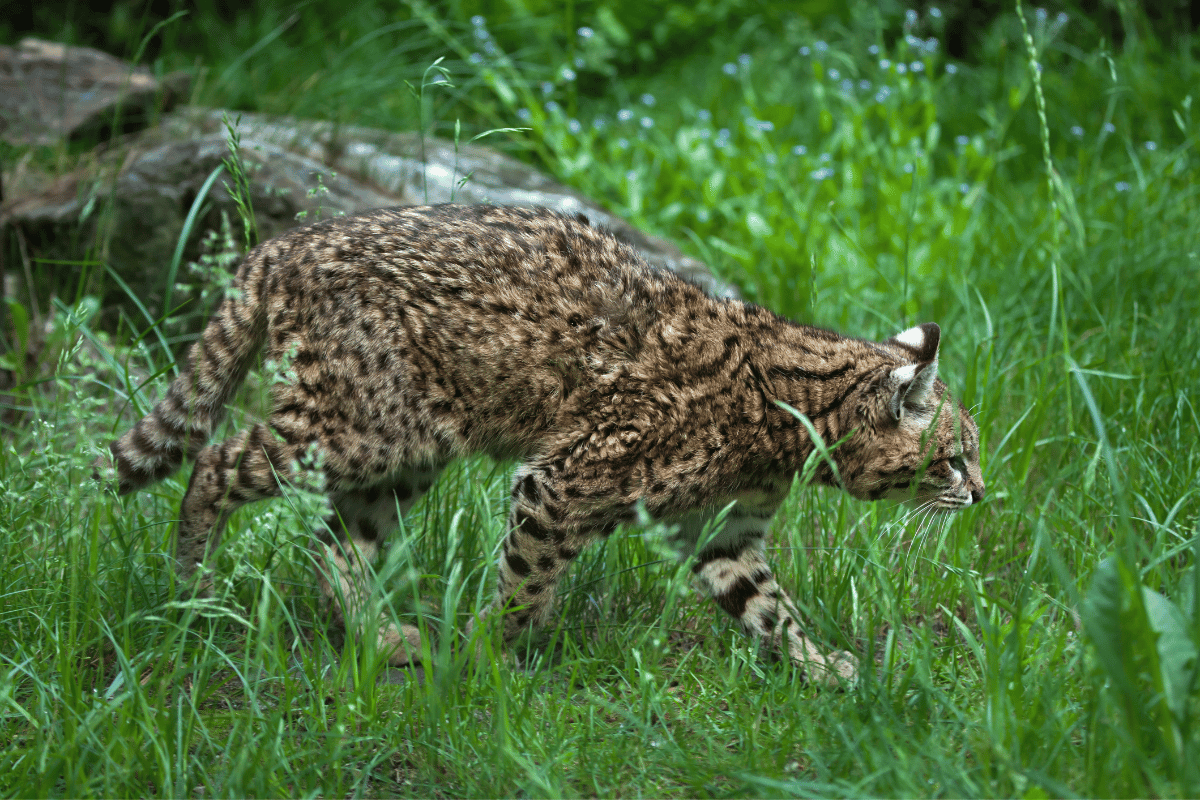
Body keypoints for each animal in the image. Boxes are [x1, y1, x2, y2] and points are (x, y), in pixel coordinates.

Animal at [98, 203, 984, 686]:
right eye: (955, 455)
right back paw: (191, 589)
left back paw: (382, 636)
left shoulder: (723, 532)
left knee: (337, 541)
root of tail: (280, 245)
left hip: (405, 454)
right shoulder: (565, 480)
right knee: (215, 464)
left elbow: (772, 611)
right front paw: (490, 662)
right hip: (352, 431)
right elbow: (525, 587)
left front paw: (830, 672)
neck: (788, 419)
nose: (982, 494)